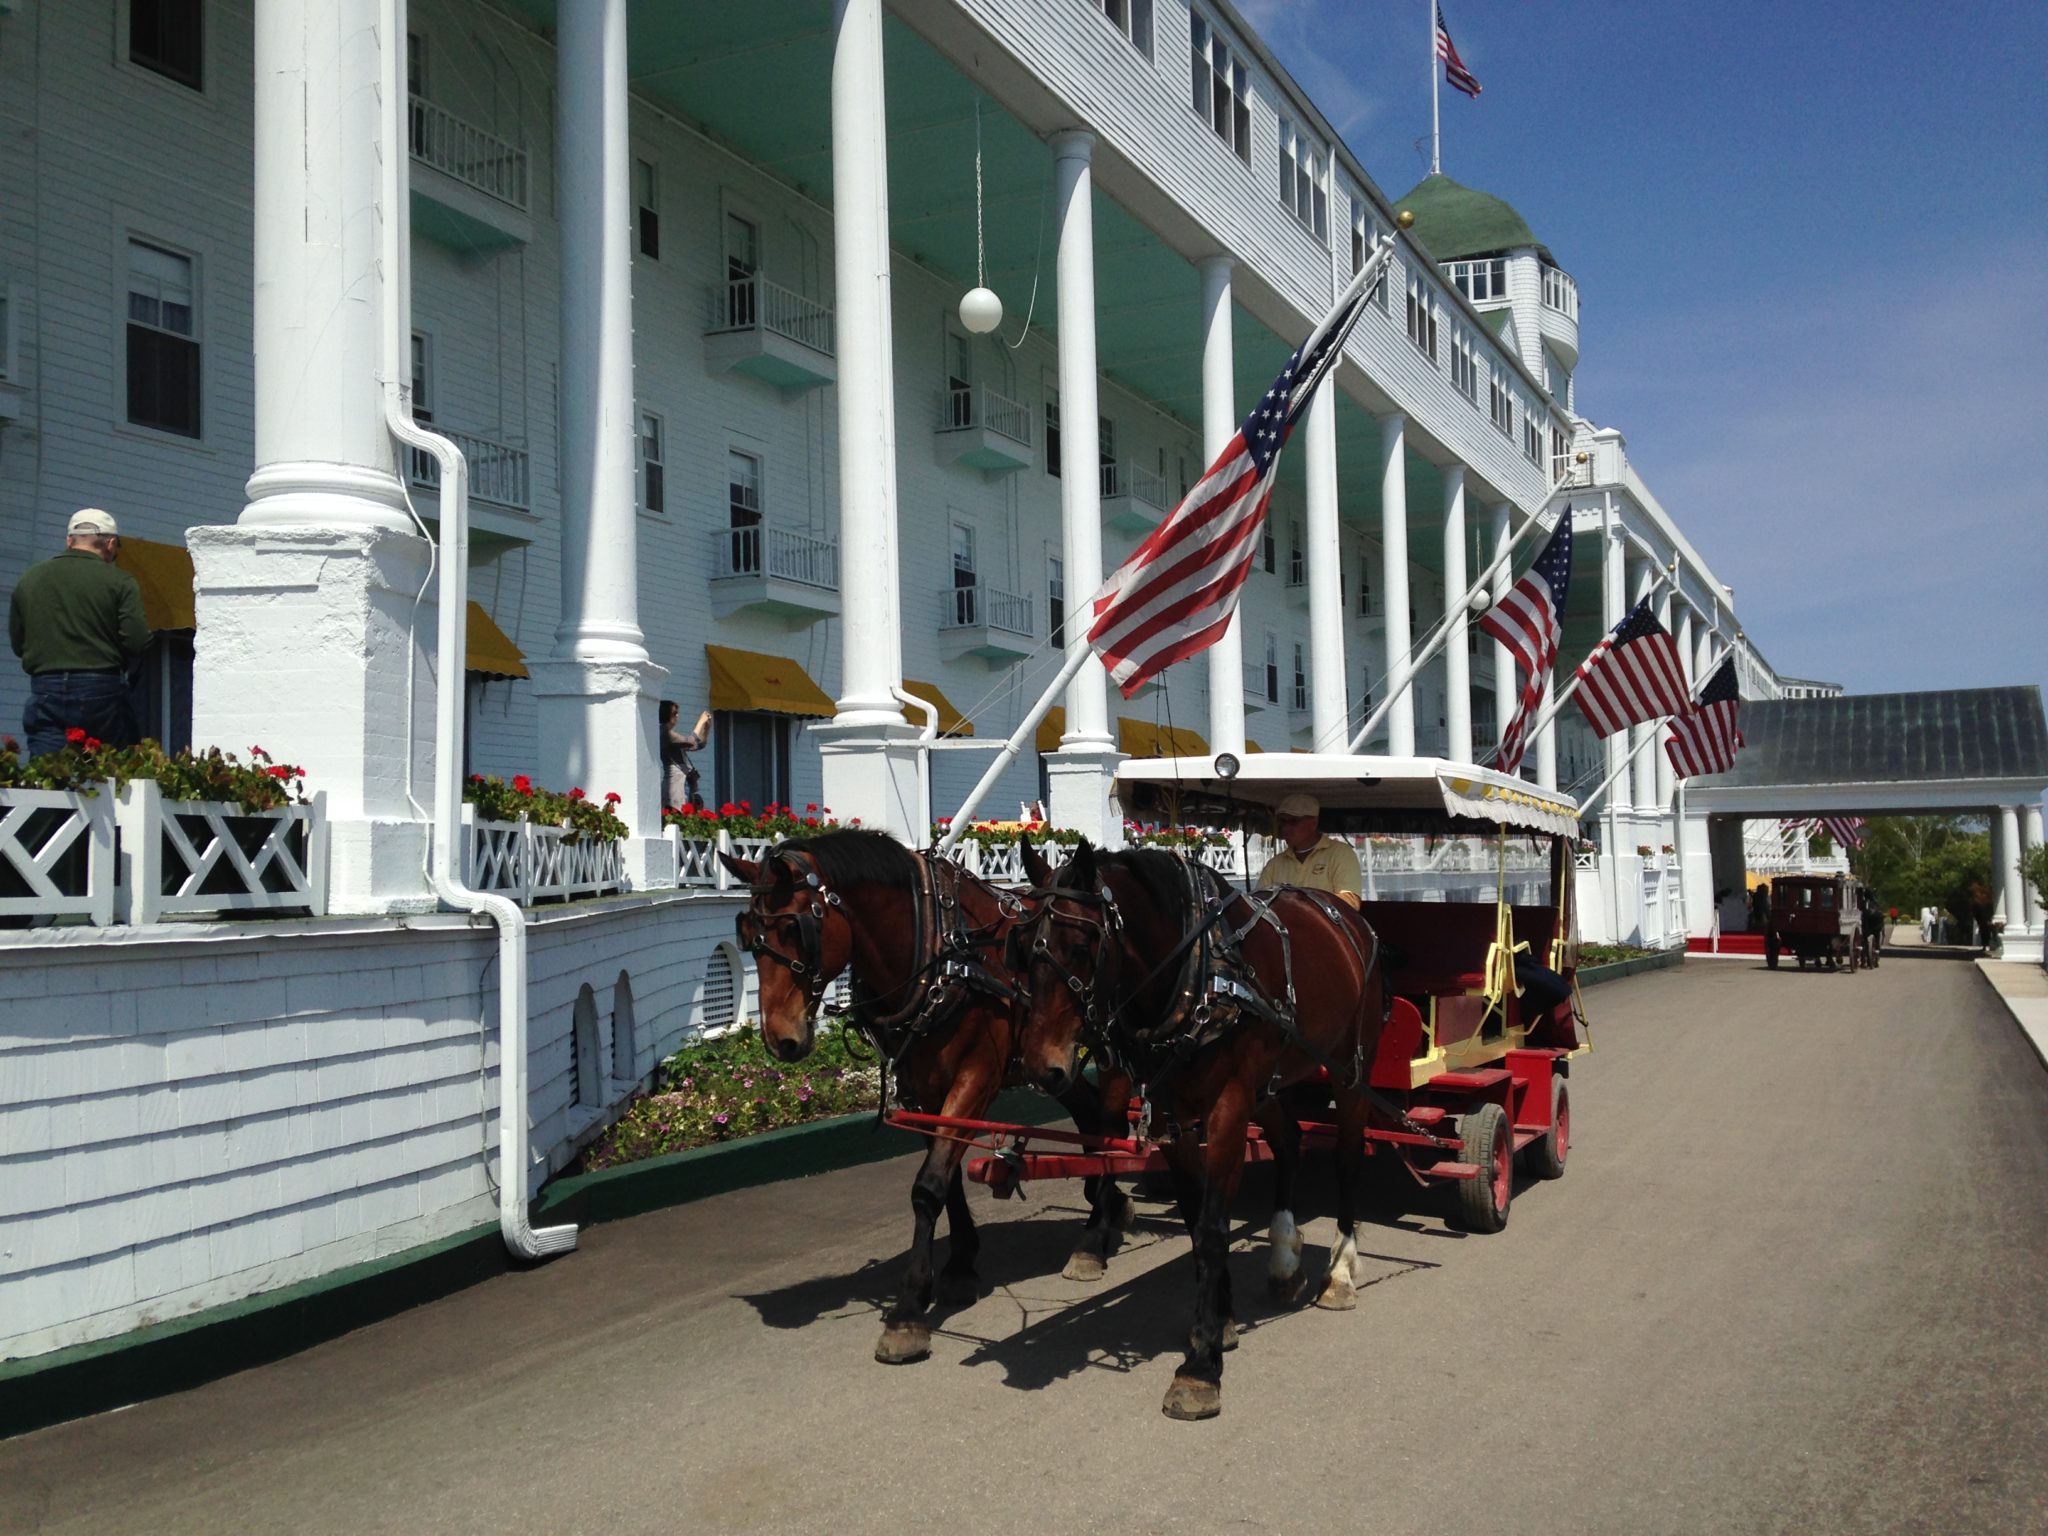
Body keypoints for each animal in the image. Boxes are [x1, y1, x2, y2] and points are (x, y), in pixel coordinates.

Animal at [720, 835, 1138, 1368]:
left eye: (796, 928)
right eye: (749, 936)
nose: (780, 1040)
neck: (940, 950)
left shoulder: (977, 1076)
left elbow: (929, 1183)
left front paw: (909, 1311)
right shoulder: (920, 1085)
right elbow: (947, 1174)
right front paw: (959, 1264)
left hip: (1109, 1046)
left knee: (1112, 1126)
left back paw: (1095, 1236)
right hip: (1052, 1062)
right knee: (1092, 1118)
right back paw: (1105, 1207)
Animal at [1011, 847, 1384, 1425]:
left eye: (1080, 946)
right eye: (1024, 944)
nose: (1038, 1067)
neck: (1197, 971)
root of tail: (1346, 915)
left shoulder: (1227, 1107)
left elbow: (1211, 1228)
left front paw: (1201, 1364)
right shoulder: (1172, 1114)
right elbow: (1193, 1221)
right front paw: (1221, 1322)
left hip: (1349, 1068)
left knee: (1346, 1158)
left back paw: (1341, 1270)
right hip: (1270, 1082)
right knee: (1290, 1143)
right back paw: (1284, 1259)